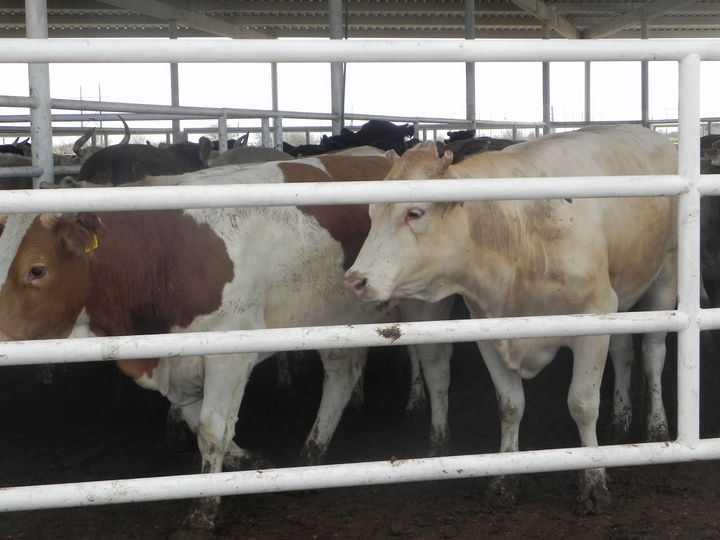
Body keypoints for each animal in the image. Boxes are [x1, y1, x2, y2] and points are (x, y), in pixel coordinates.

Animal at [0, 154, 450, 528]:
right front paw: (254, 461)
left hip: (424, 309)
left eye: (37, 270)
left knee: (434, 364)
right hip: (329, 318)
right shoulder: (177, 360)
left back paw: (436, 444)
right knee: (341, 377)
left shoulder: (227, 355)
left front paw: (204, 510)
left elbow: (212, 430)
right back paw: (311, 456)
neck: (160, 255)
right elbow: (201, 424)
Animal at [346, 125, 676, 516]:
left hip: (666, 276)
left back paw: (656, 428)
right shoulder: (489, 332)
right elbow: (510, 406)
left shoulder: (592, 321)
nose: (355, 281)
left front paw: (594, 483)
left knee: (653, 352)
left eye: (414, 212)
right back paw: (621, 421)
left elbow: (582, 404)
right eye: (371, 213)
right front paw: (505, 481)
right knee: (624, 352)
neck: (515, 233)